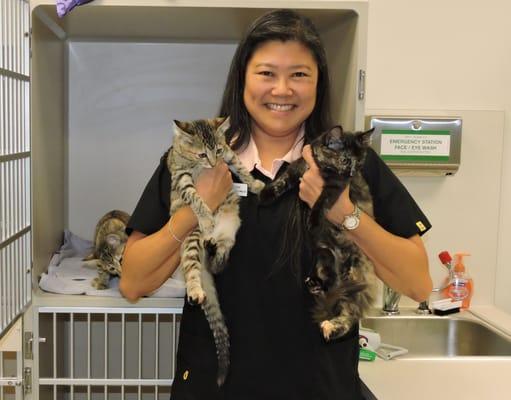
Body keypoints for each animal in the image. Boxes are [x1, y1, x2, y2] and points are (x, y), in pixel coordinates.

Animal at [167, 115, 264, 384]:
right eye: (201, 154)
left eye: (217, 151)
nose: (212, 163)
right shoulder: (181, 175)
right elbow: (193, 194)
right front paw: (205, 215)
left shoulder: (229, 154)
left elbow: (239, 164)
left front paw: (255, 183)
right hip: (190, 239)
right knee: (192, 267)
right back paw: (196, 288)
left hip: (231, 230)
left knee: (220, 258)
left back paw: (214, 250)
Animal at [260, 126, 376, 340]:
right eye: (346, 160)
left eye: (359, 161)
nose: (352, 172)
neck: (321, 166)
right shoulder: (296, 169)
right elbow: (282, 181)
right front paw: (267, 194)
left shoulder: (335, 187)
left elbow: (321, 201)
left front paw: (313, 220)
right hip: (324, 254)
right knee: (330, 286)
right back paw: (315, 284)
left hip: (354, 278)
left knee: (349, 312)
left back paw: (332, 328)